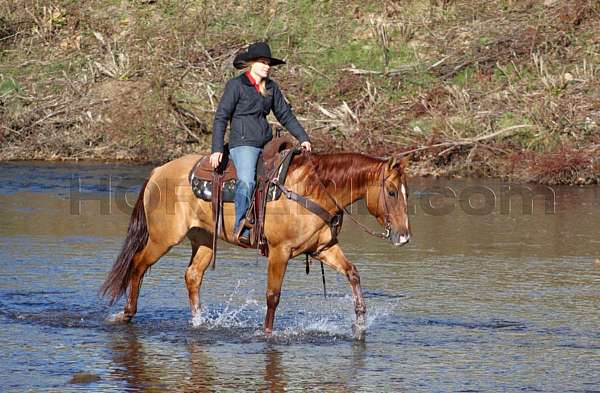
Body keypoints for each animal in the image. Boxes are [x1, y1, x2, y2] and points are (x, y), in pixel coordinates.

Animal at [101, 149, 410, 336]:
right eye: (392, 192)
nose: (404, 236)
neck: (312, 191)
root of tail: (157, 172)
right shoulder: (279, 252)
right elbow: (273, 296)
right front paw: (267, 333)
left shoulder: (323, 249)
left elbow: (353, 273)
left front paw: (360, 321)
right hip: (163, 238)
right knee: (138, 264)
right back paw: (127, 314)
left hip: (203, 239)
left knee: (192, 276)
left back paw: (198, 322)